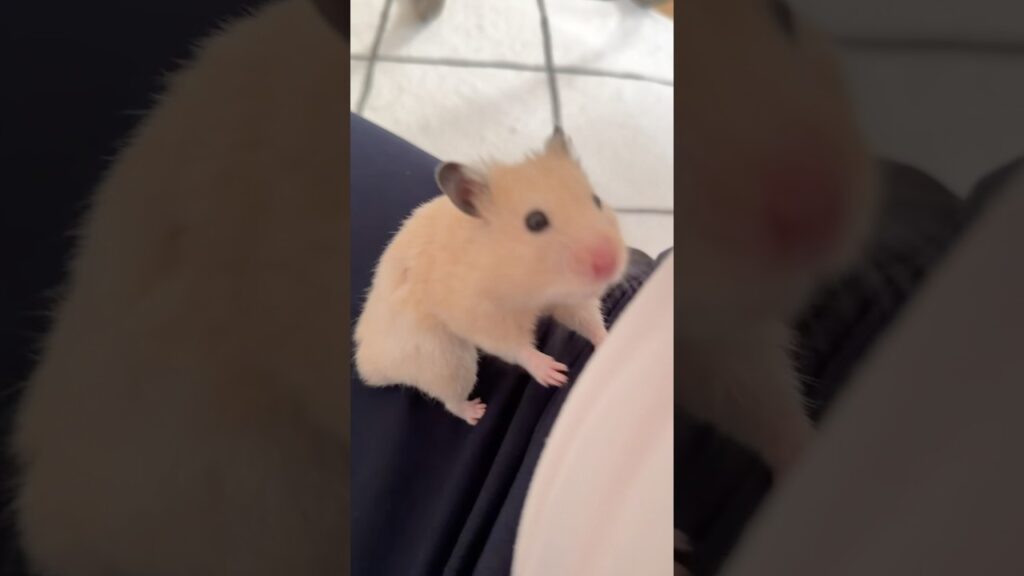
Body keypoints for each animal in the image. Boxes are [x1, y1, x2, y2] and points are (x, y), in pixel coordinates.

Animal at [354, 130, 629, 425]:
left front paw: (611, 339)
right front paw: (554, 373)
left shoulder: (570, 299)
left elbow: (589, 321)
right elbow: (515, 346)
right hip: (447, 360)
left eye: (597, 200)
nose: (610, 263)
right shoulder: (480, 316)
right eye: (535, 221)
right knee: (451, 401)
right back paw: (476, 412)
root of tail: (369, 365)